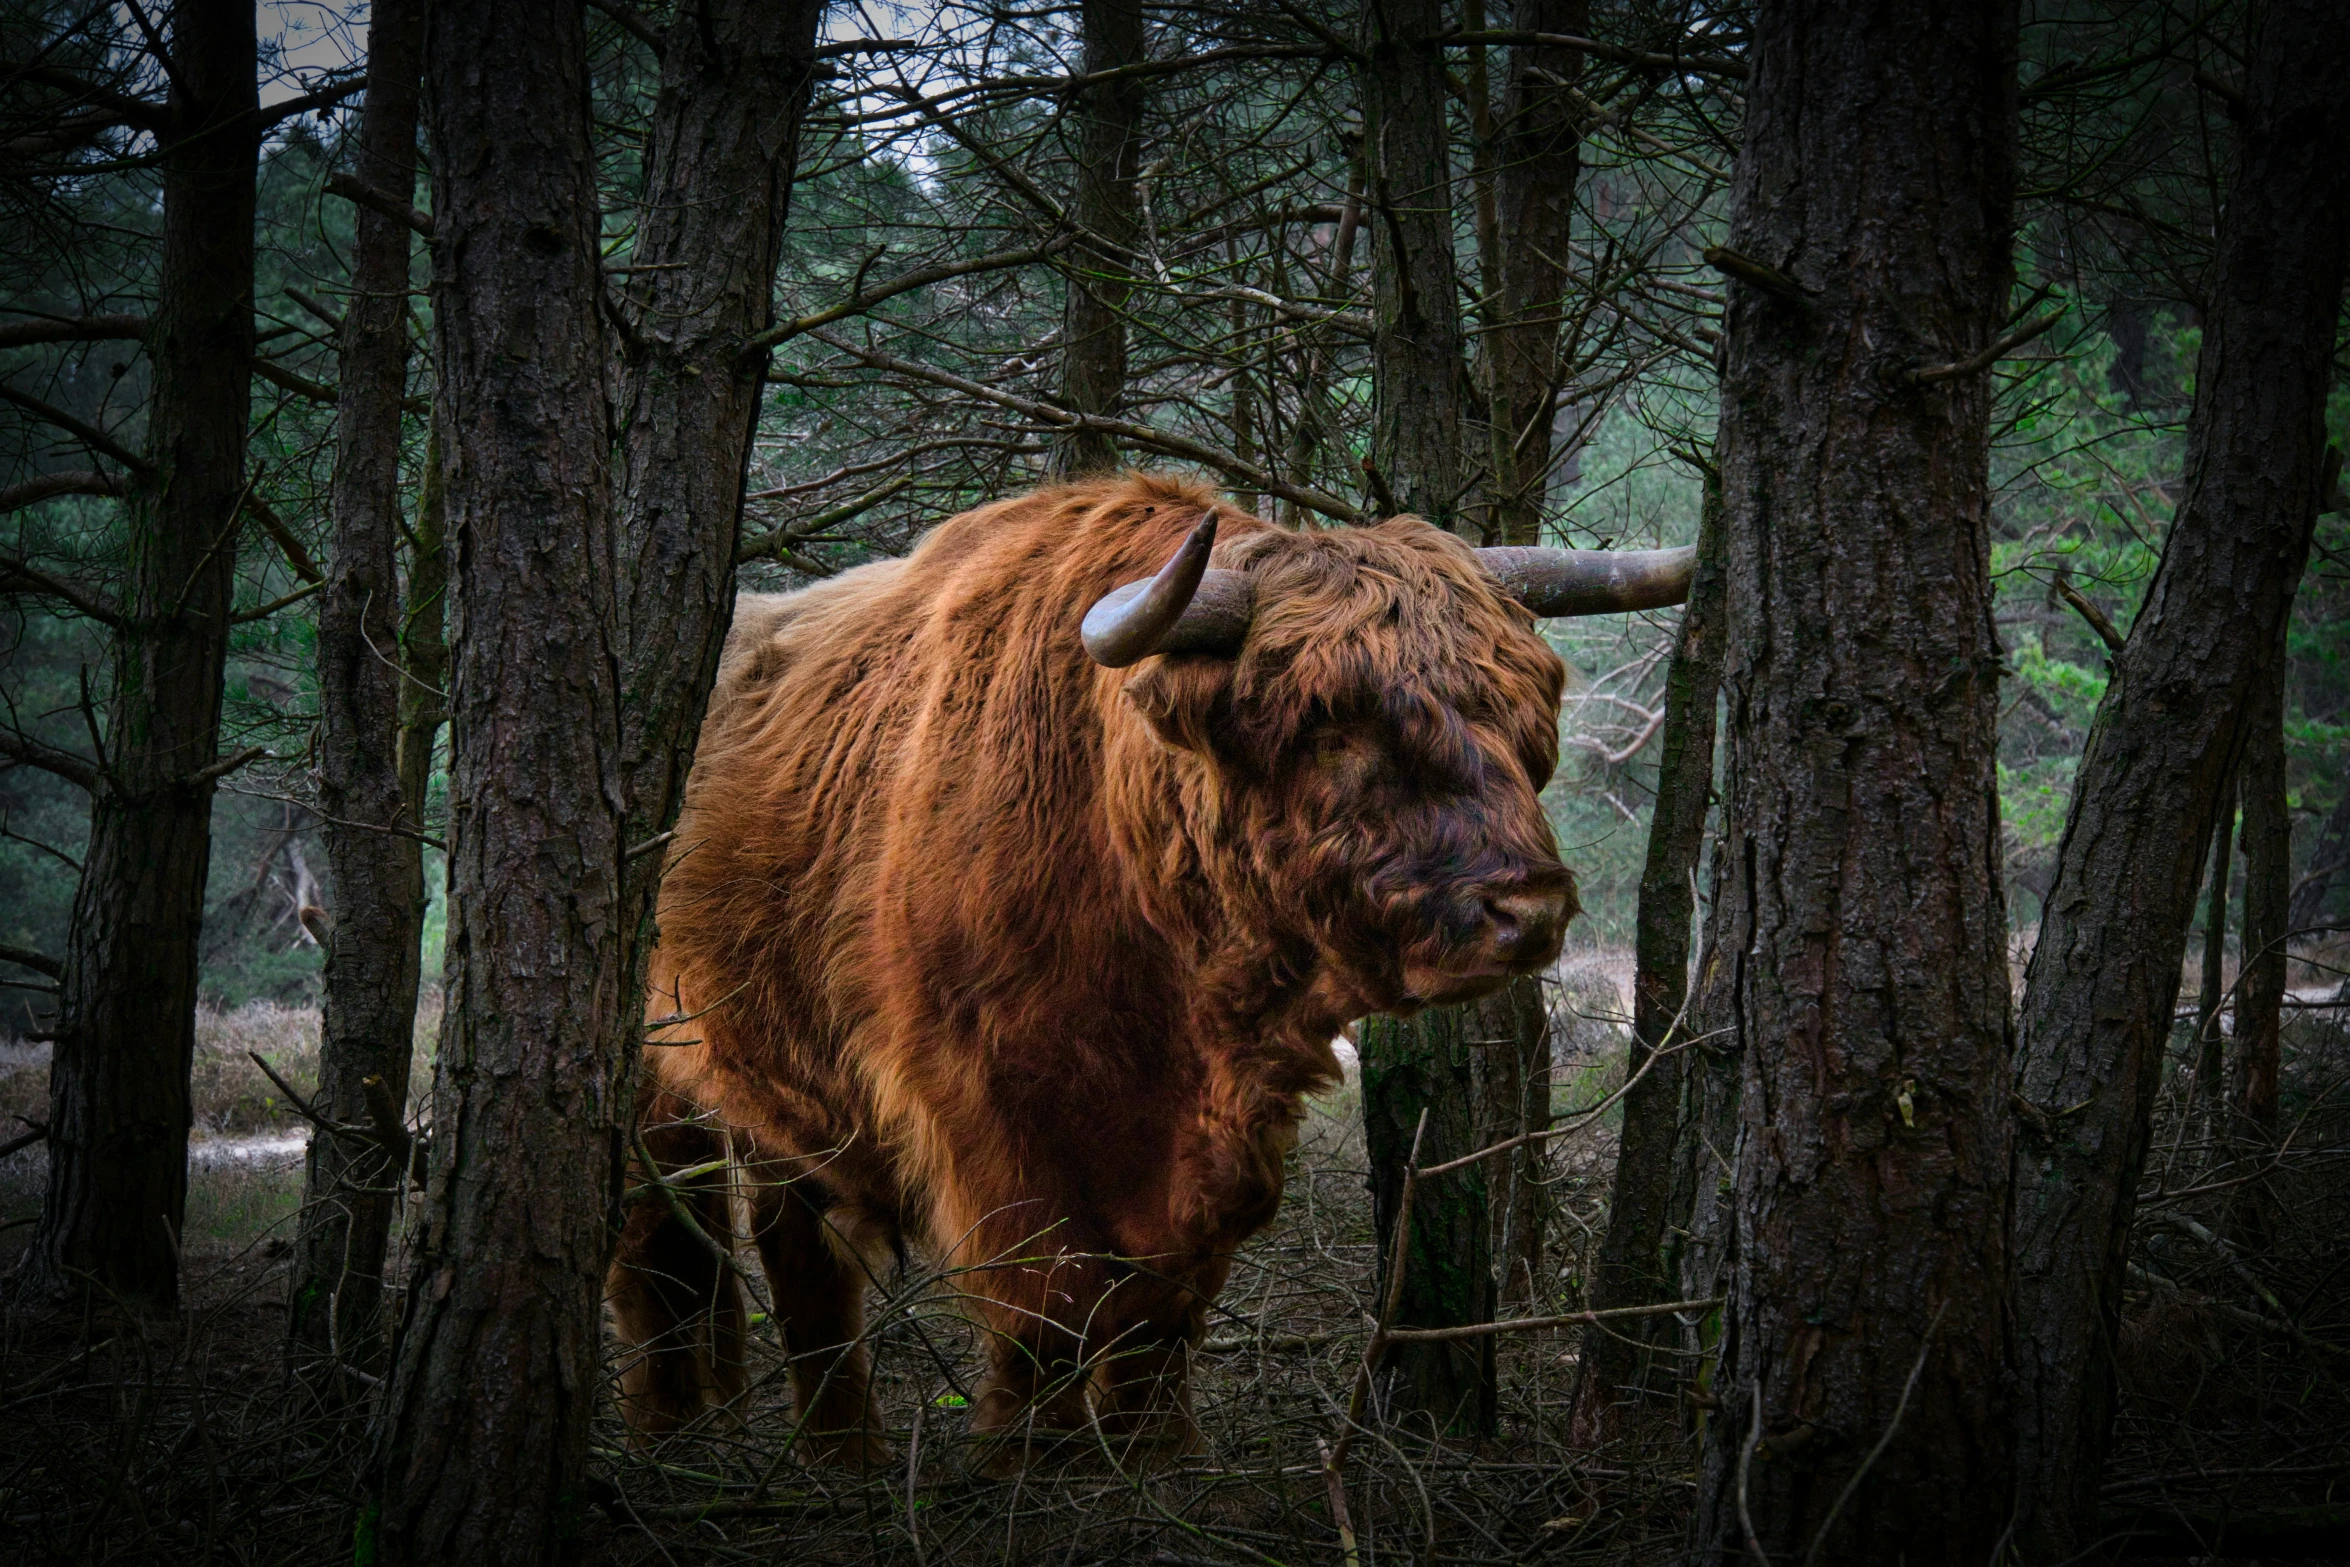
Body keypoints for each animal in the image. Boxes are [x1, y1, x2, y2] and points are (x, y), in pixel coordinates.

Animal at [606, 472, 1691, 1465]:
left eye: (1525, 711)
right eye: (1333, 722)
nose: (1529, 907)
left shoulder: (1221, 1138)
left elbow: (1161, 1313)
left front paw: (1154, 1455)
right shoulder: (988, 1111)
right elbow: (1046, 1302)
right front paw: (1030, 1461)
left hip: (774, 1065)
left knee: (790, 1236)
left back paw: (841, 1453)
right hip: (653, 1062)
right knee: (663, 1239)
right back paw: (675, 1427)